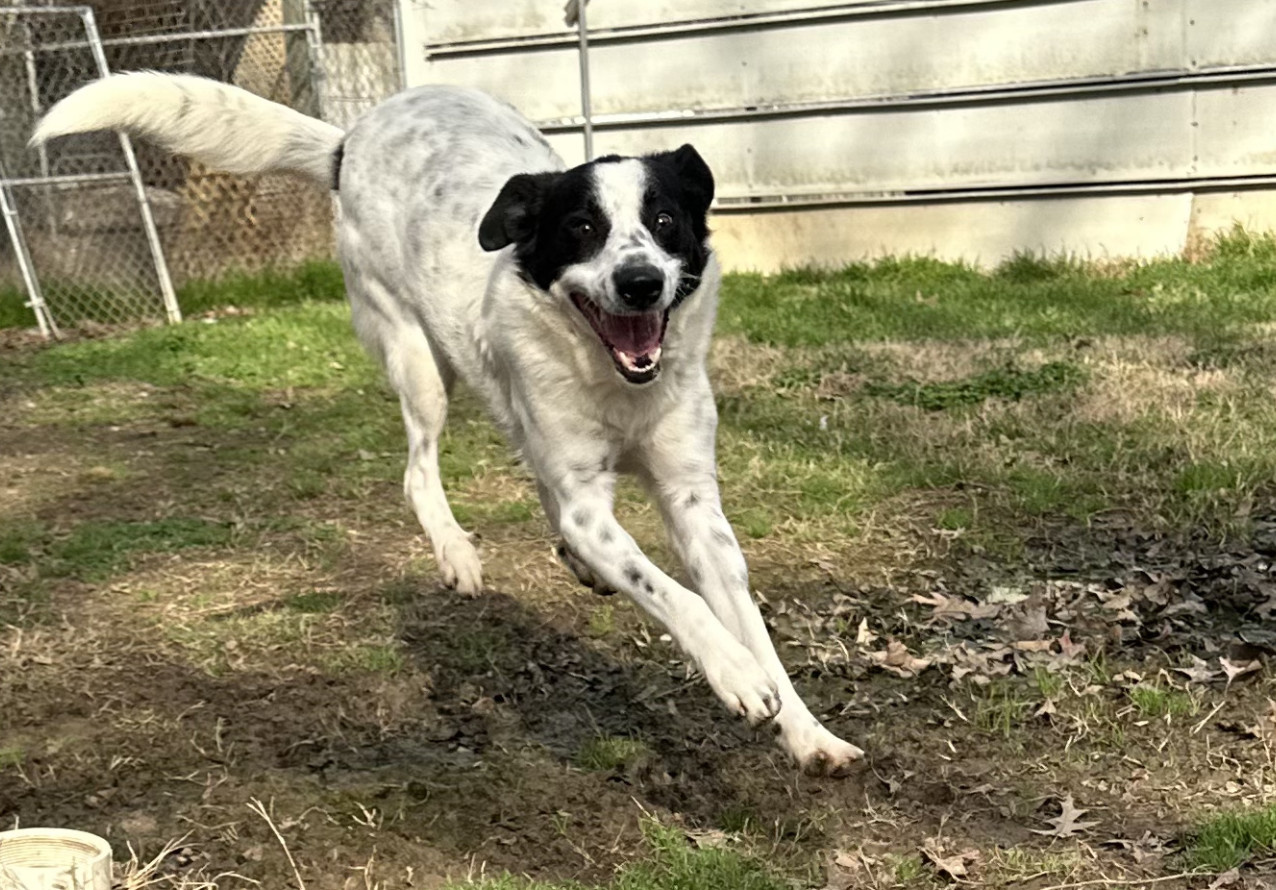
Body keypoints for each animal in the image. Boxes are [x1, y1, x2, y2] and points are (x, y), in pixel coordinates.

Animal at [32, 72, 867, 776]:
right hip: (414, 357)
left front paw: (806, 731)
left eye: (664, 222)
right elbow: (670, 592)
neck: (613, 383)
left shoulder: (694, 502)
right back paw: (457, 551)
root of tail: (352, 137)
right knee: (417, 469)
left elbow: (743, 616)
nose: (641, 282)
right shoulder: (589, 500)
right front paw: (733, 676)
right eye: (582, 229)